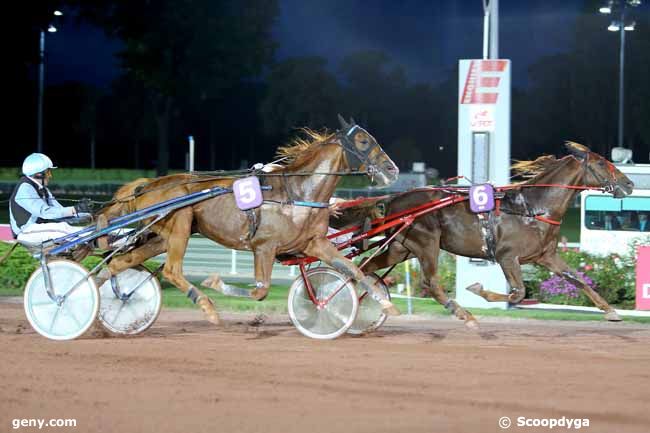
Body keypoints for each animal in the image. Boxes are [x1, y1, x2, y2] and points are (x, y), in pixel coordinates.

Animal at [96, 117, 400, 324]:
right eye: (363, 141)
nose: (392, 169)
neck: (298, 193)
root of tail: (147, 185)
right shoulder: (264, 247)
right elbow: (260, 292)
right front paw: (215, 284)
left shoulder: (314, 244)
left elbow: (353, 270)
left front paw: (386, 305)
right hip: (180, 223)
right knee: (171, 270)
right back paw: (207, 306)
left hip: (162, 237)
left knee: (118, 263)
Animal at [332, 142, 632, 324]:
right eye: (602, 163)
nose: (628, 184)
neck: (531, 209)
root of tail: (395, 199)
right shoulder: (507, 257)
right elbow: (518, 294)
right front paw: (478, 290)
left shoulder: (545, 257)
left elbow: (578, 280)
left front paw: (611, 311)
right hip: (426, 243)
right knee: (430, 283)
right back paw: (461, 313)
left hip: (401, 247)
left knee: (364, 267)